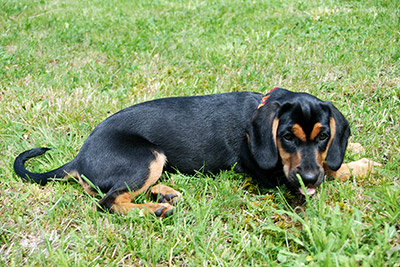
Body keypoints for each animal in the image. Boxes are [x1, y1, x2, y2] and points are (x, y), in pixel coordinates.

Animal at [14, 88, 378, 218]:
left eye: (324, 136)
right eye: (287, 137)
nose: (309, 179)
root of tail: (78, 157)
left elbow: (333, 160)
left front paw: (354, 148)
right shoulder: (273, 174)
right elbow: (335, 170)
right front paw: (363, 166)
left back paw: (165, 193)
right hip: (148, 156)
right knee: (108, 202)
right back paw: (157, 209)